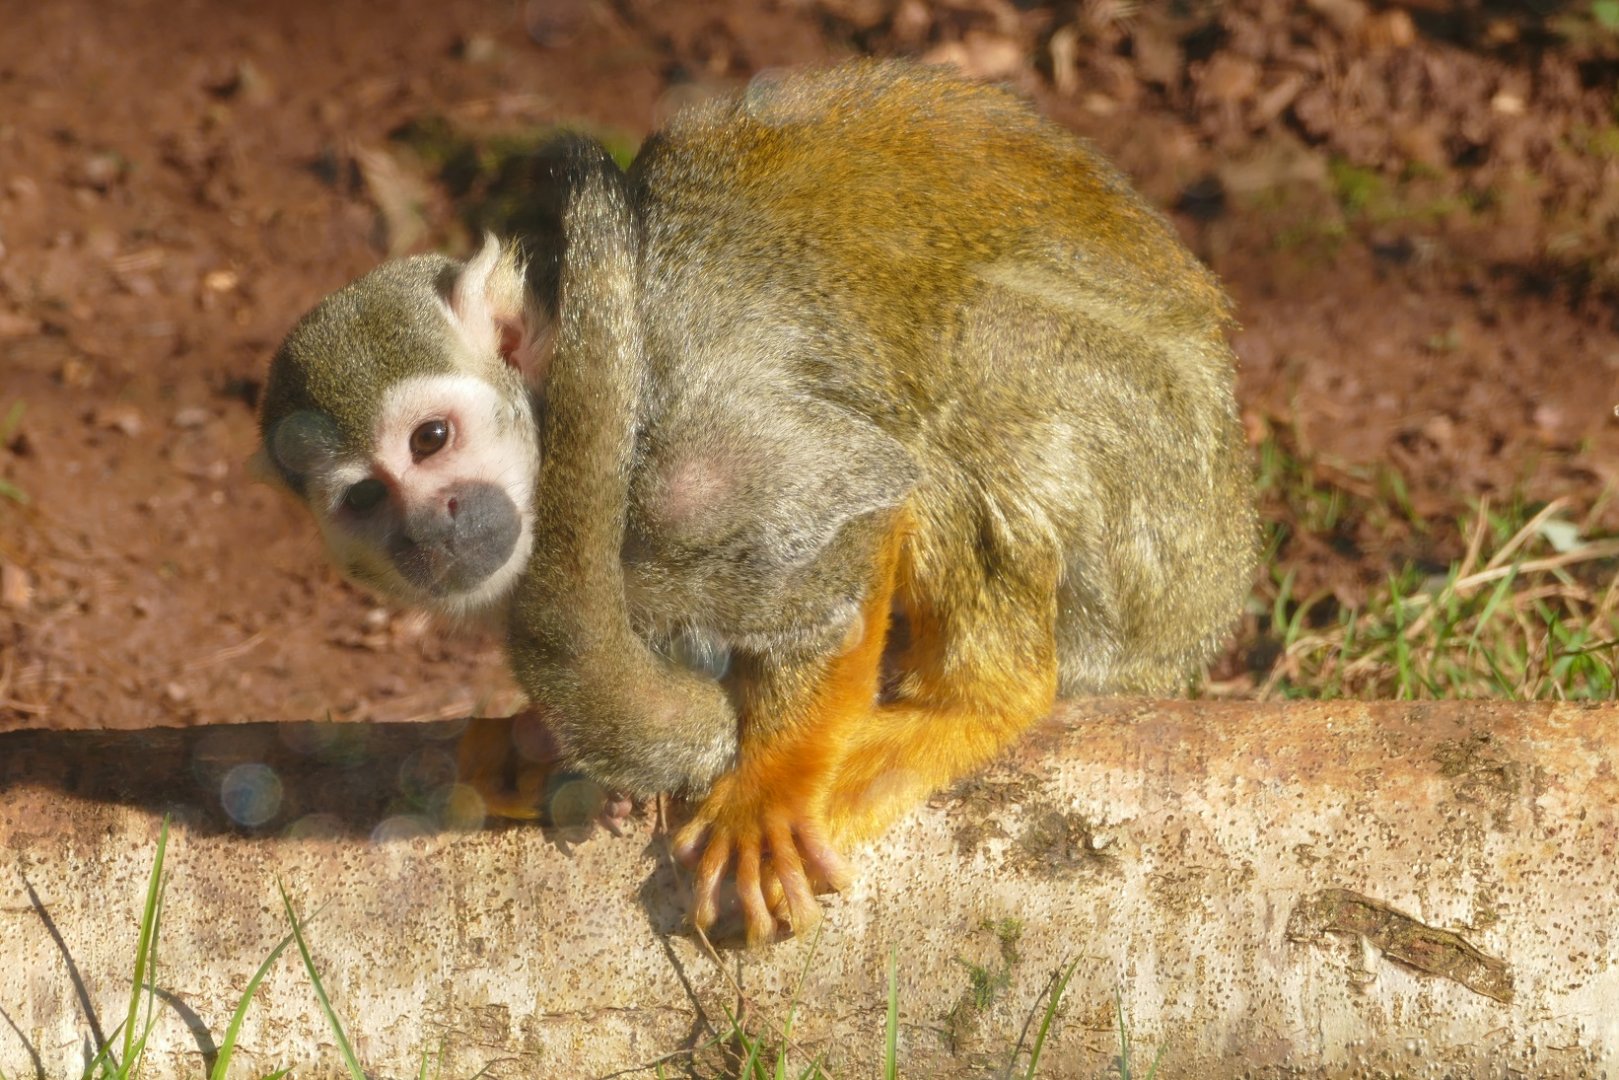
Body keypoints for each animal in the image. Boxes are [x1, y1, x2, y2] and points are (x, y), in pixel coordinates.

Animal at [257, 60, 1257, 946]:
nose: (433, 526)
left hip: (1153, 504)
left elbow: (857, 513)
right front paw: (540, 740)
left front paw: (770, 785)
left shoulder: (687, 438)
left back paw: (975, 702)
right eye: (364, 499)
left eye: (431, 439)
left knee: (974, 367)